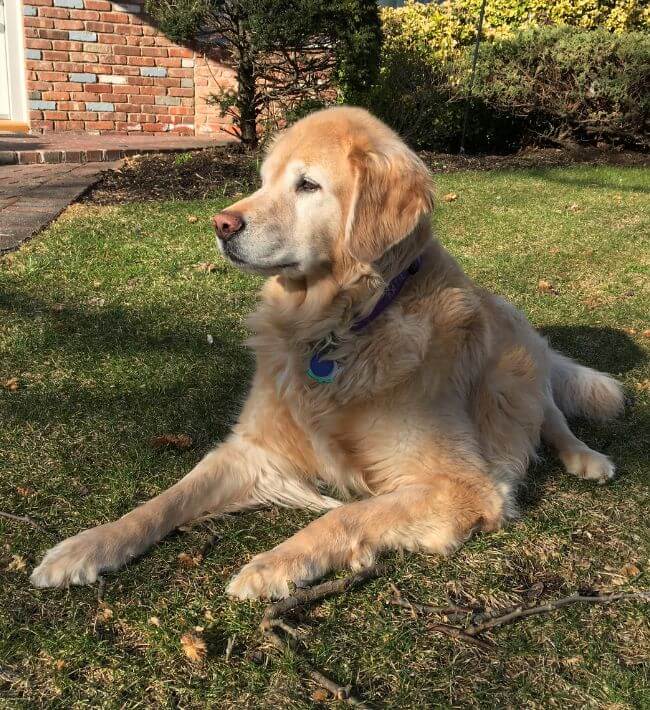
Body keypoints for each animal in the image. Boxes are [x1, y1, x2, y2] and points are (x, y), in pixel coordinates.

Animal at [31, 107, 624, 600]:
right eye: (262, 181)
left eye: (308, 185)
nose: (221, 224)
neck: (338, 328)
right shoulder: (254, 448)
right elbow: (166, 499)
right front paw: (88, 546)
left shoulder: (462, 487)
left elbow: (343, 517)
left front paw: (273, 565)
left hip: (519, 360)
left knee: (550, 414)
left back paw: (586, 458)